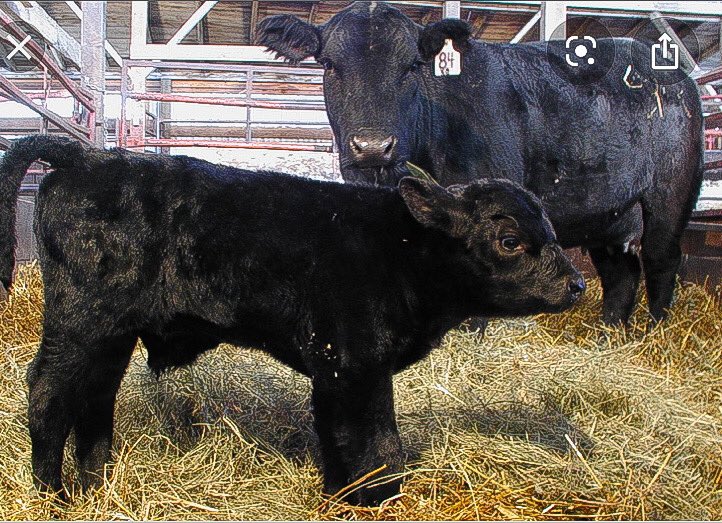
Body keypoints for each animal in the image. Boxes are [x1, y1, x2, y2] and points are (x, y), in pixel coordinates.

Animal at [0, 135, 584, 506]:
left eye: (552, 229)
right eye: (509, 240)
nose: (577, 284)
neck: (400, 248)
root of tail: (87, 155)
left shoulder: (342, 369)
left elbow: (340, 434)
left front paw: (342, 494)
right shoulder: (351, 361)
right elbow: (375, 442)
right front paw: (374, 497)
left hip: (111, 334)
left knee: (95, 394)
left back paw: (97, 484)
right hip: (81, 321)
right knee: (49, 389)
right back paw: (52, 494)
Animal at [257, 2, 704, 326]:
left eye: (412, 66)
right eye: (329, 65)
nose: (371, 146)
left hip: (671, 193)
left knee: (661, 261)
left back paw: (656, 332)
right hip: (609, 212)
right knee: (621, 273)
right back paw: (609, 336)